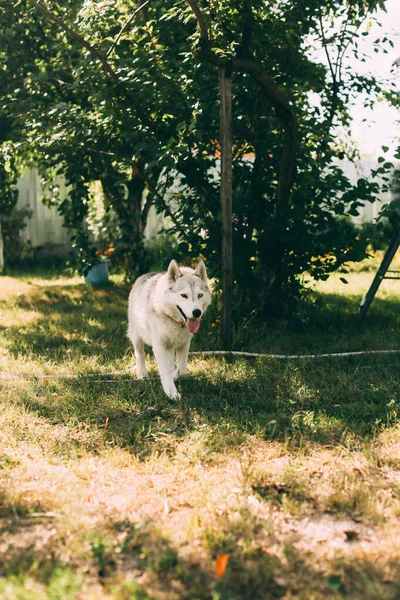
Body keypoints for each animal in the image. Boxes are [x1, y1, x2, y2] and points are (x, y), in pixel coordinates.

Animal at [127, 258, 212, 396]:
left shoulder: (184, 344)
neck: (174, 321)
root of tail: (142, 276)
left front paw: (174, 376)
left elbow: (181, 370)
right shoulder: (159, 346)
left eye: (200, 295)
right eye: (184, 295)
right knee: (140, 354)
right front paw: (171, 392)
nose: (197, 312)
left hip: (170, 346)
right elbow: (165, 370)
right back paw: (142, 374)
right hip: (137, 337)